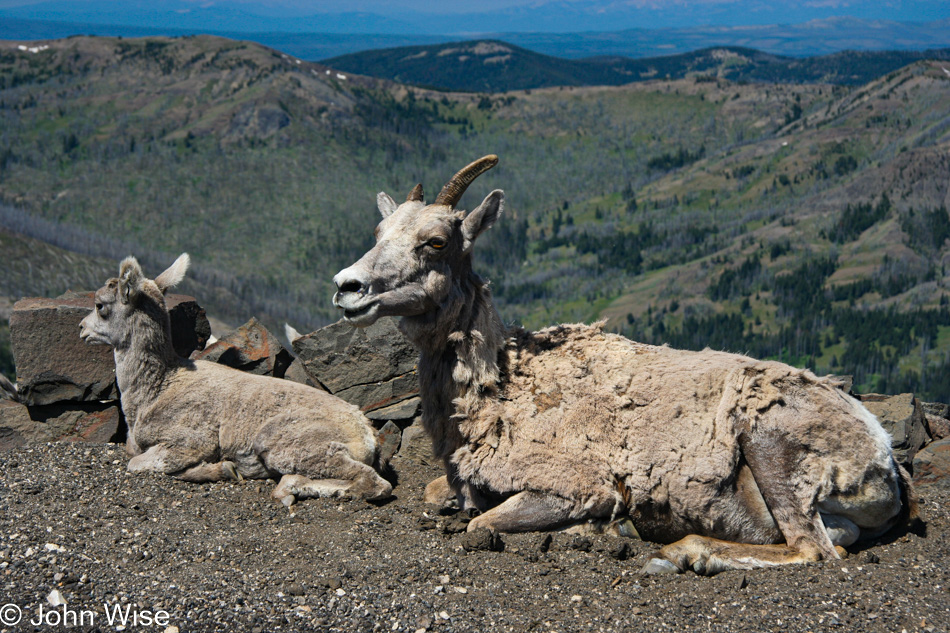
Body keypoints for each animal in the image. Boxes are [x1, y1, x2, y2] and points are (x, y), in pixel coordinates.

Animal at [79, 253, 394, 504]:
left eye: (100, 306)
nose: (82, 329)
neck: (155, 392)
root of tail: (367, 435)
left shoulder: (189, 442)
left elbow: (137, 463)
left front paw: (223, 469)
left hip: (284, 442)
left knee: (374, 483)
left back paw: (288, 488)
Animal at [336, 157, 924, 572]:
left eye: (435, 242)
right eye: (378, 236)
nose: (348, 287)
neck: (503, 390)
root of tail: (881, 457)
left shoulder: (569, 486)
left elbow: (479, 521)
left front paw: (591, 530)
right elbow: (443, 499)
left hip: (771, 445)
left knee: (813, 550)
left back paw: (679, 554)